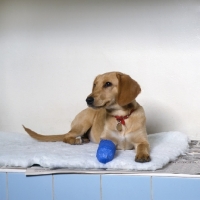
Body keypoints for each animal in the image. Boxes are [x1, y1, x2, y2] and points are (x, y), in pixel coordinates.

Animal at [23, 72, 151, 162]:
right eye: (95, 84)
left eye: (108, 84)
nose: (87, 100)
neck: (121, 117)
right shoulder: (107, 139)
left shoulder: (142, 140)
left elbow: (143, 146)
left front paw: (142, 155)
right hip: (84, 122)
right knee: (66, 136)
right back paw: (76, 140)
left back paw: (83, 139)